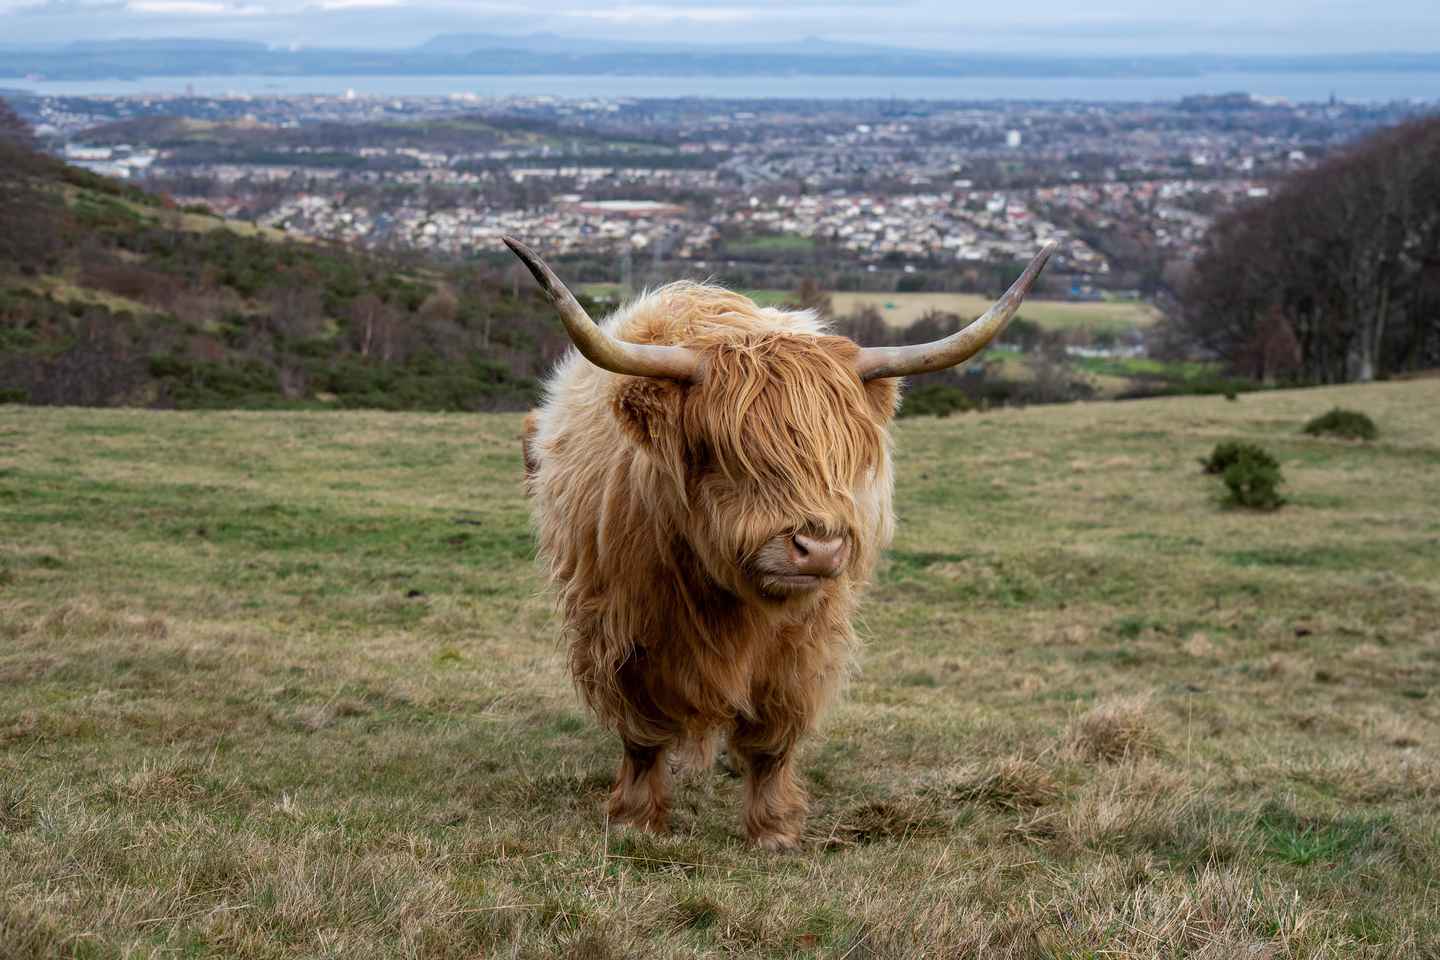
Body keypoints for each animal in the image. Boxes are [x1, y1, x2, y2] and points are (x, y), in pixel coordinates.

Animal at [505, 236, 1054, 849]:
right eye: (723, 453)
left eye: (840, 454)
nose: (818, 549)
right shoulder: (622, 629)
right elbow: (642, 735)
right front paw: (636, 819)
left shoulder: (803, 644)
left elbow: (773, 738)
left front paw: (774, 829)